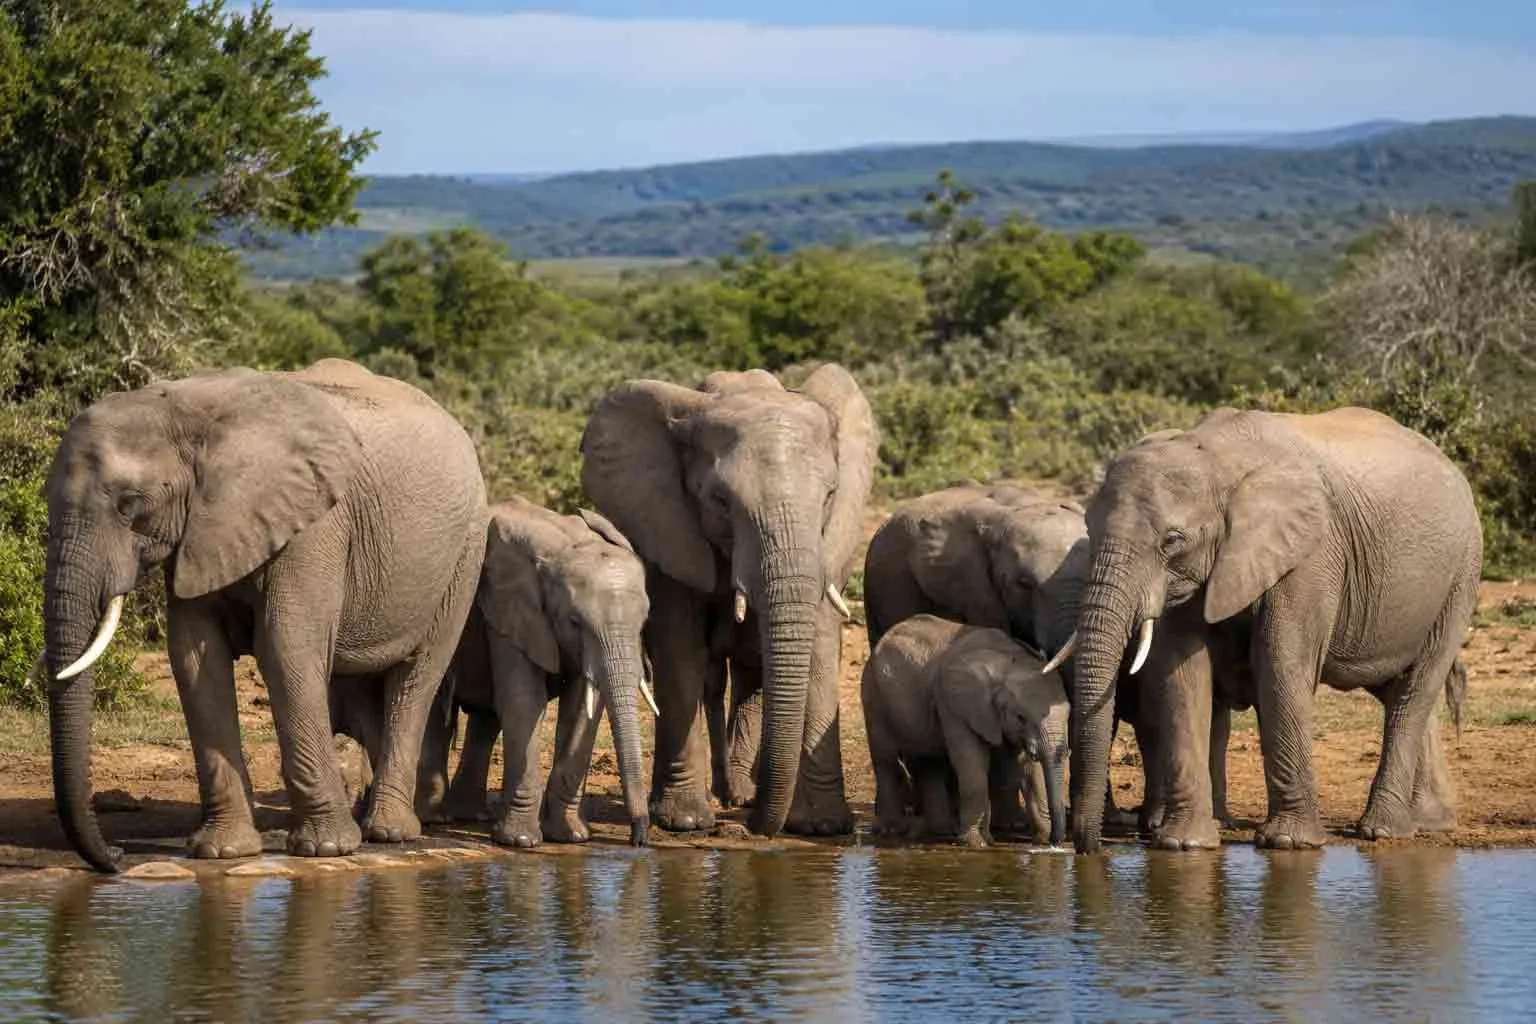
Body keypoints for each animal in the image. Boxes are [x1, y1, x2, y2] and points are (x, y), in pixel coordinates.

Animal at [40, 358, 487, 871]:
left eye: (130, 504)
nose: (115, 857)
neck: (188, 409)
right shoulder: (200, 531)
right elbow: (195, 658)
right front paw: (221, 851)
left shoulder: (315, 526)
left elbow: (286, 649)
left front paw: (326, 849)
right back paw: (366, 816)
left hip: (464, 554)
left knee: (416, 677)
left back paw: (388, 831)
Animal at [580, 365, 877, 837]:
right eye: (720, 501)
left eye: (830, 496)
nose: (753, 827)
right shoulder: (670, 528)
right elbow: (679, 651)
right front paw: (684, 821)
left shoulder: (833, 543)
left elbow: (821, 648)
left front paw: (822, 826)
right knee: (712, 678)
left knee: (748, 675)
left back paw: (739, 793)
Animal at [861, 614, 1067, 847]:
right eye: (1021, 717)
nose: (1055, 843)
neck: (1006, 662)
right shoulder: (954, 704)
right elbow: (971, 762)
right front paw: (977, 843)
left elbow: (1029, 770)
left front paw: (1042, 838)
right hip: (873, 694)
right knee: (886, 759)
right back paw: (892, 830)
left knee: (929, 762)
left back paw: (942, 831)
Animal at [1055, 406, 1480, 853]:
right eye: (1088, 529)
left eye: (1172, 541)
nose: (1089, 850)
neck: (1217, 457)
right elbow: (1182, 676)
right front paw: (1184, 845)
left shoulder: (1310, 558)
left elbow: (1280, 665)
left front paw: (1288, 842)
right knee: (1398, 690)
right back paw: (1430, 822)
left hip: (1461, 572)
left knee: (1416, 689)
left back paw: (1383, 830)